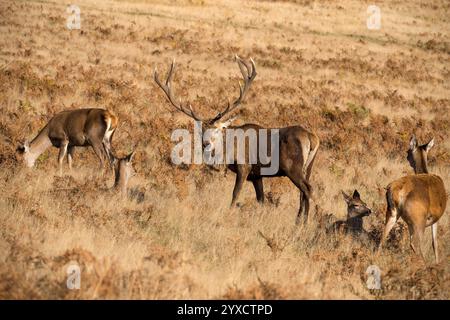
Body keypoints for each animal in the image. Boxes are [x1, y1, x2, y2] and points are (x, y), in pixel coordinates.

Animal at [155, 57, 320, 222]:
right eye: (202, 130)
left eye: (218, 129)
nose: (206, 143)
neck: (229, 153)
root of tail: (312, 138)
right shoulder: (256, 175)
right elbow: (261, 199)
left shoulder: (244, 166)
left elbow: (235, 194)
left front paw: (229, 213)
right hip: (308, 168)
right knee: (303, 192)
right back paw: (299, 221)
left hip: (292, 167)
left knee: (307, 189)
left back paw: (306, 221)